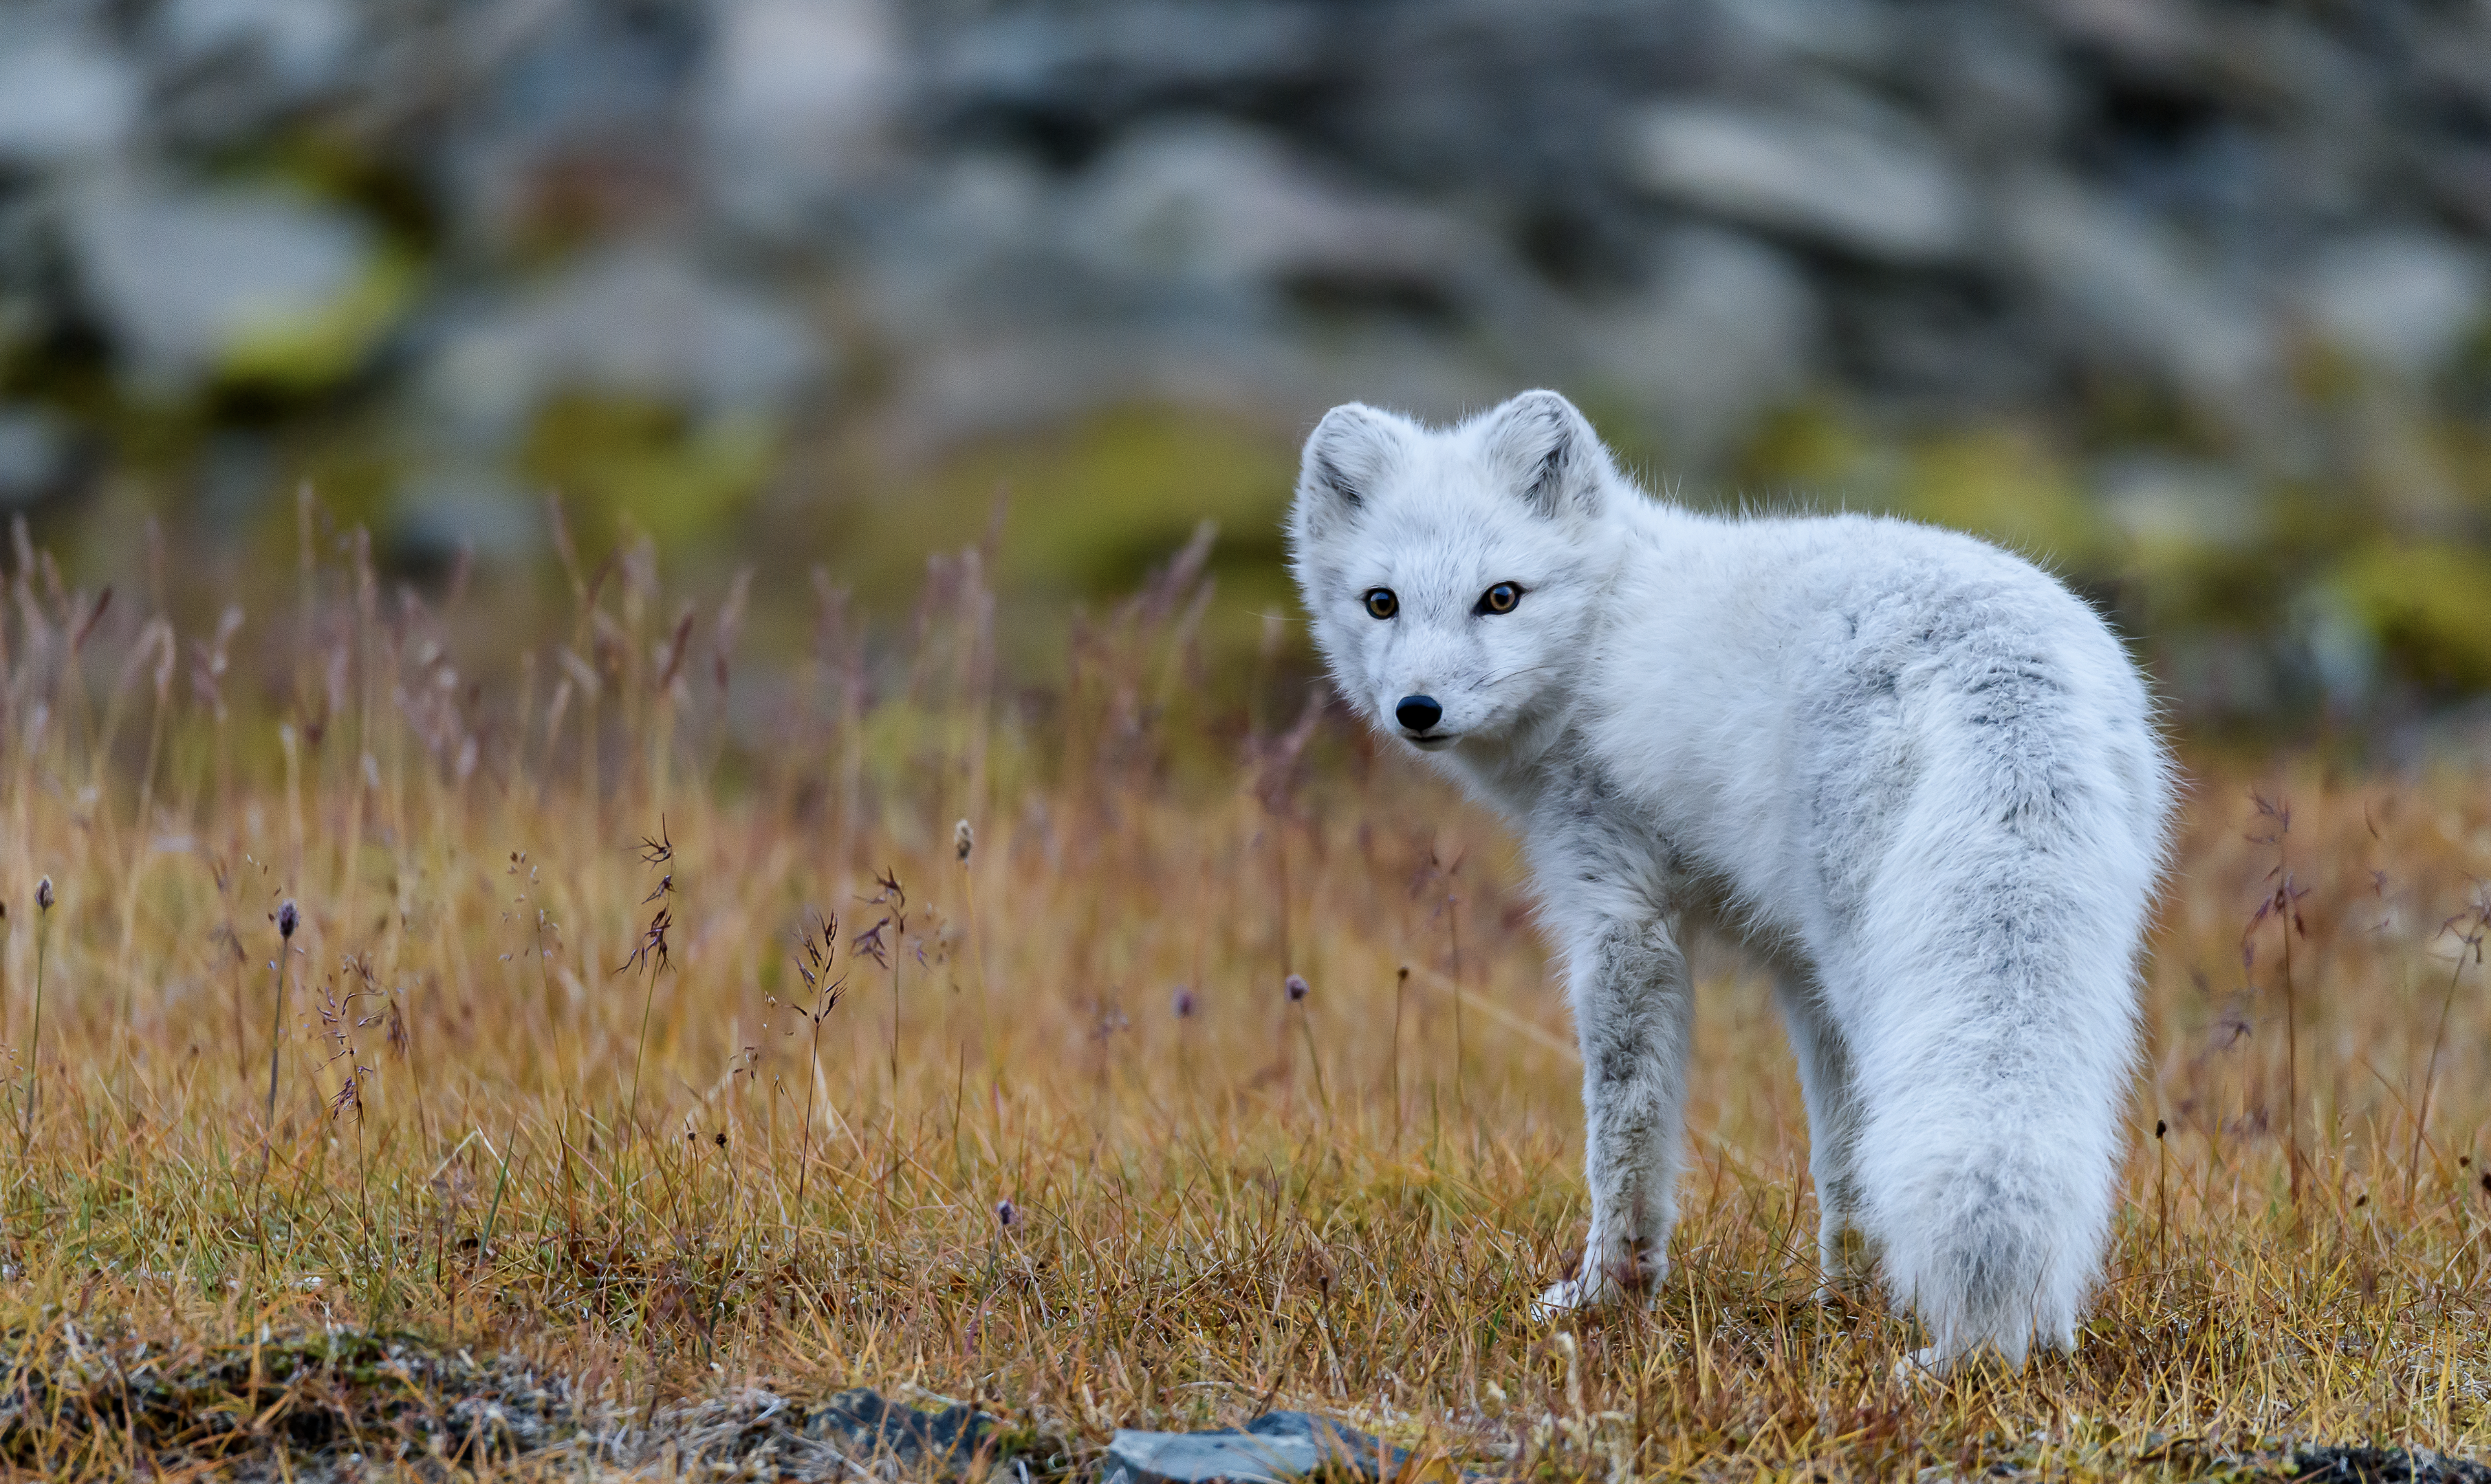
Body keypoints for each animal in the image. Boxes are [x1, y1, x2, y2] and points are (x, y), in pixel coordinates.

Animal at [1295, 386, 2172, 1364]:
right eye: (1381, 603)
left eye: (1500, 598)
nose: (1417, 710)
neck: (1603, 626)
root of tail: (2004, 665)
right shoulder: (1795, 967)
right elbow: (1843, 1156)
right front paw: (1846, 1301)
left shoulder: (1619, 916)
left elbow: (1625, 1138)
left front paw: (1607, 1293)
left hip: (1873, 962)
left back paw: (1965, 1353)